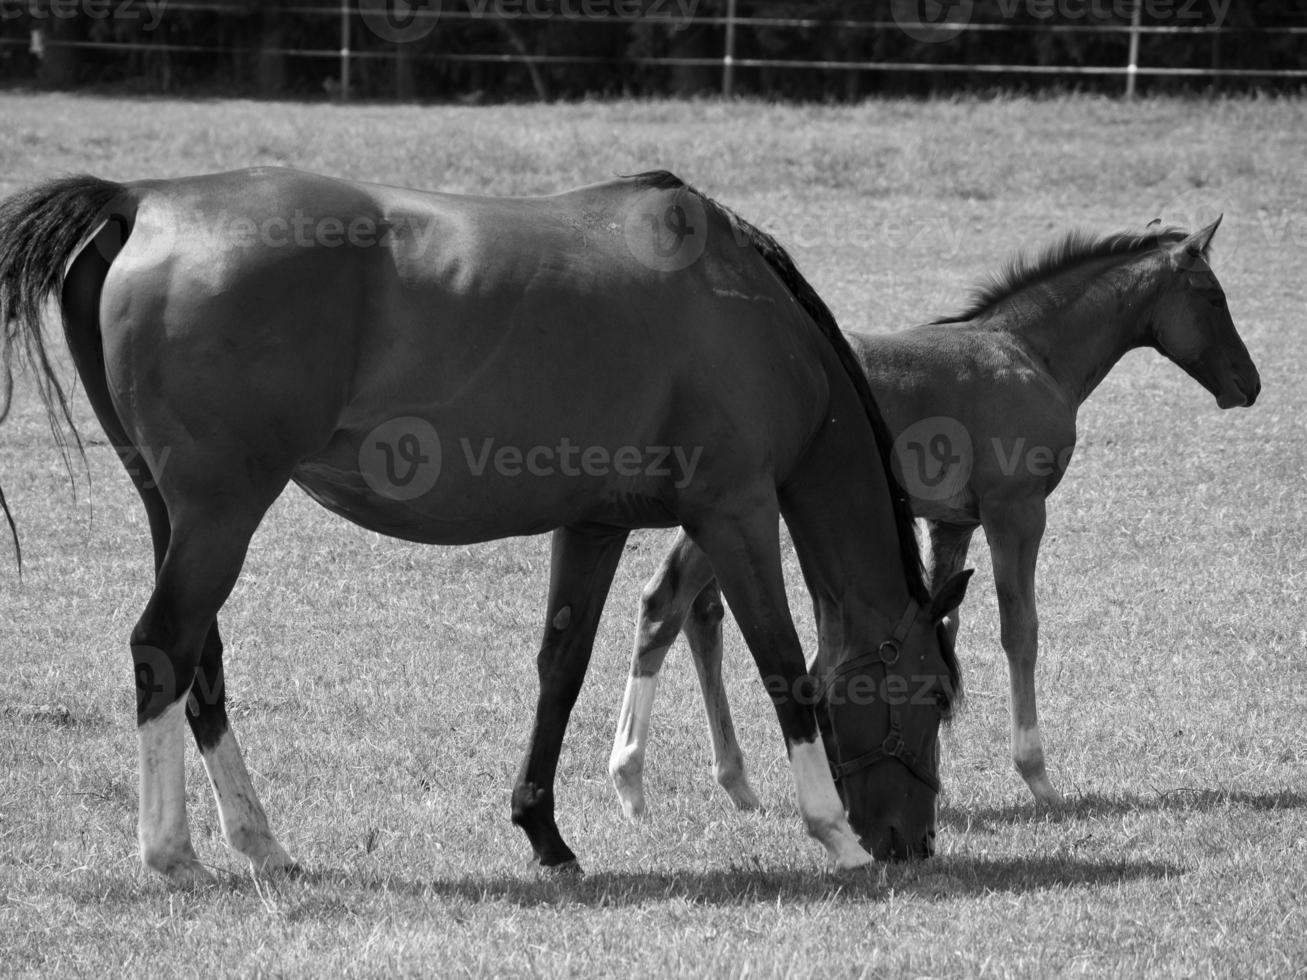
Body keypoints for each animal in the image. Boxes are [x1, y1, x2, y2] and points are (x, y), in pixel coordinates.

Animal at [0, 165, 967, 888]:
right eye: (928, 698)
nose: (912, 843)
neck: (739, 306)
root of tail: (142, 198)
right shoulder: (734, 512)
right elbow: (781, 663)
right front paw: (831, 831)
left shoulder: (593, 523)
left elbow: (560, 669)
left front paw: (544, 833)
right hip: (220, 515)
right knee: (163, 645)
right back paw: (174, 854)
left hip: (176, 514)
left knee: (199, 659)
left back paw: (260, 844)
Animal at [606, 218, 1259, 815]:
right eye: (1214, 297)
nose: (1248, 384)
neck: (1029, 351)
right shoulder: (1016, 511)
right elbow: (1020, 630)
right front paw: (1036, 775)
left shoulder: (954, 524)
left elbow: (943, 625)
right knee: (667, 602)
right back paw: (632, 780)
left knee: (698, 613)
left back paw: (734, 783)